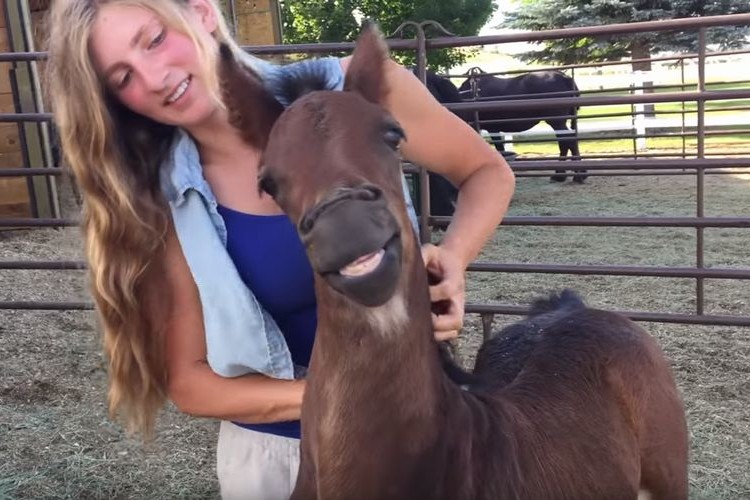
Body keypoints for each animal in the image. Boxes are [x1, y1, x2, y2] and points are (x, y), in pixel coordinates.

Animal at [458, 67, 588, 183]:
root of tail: (565, 77)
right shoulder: (492, 129)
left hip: (557, 122)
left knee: (568, 141)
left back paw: (575, 176)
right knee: (565, 143)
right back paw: (564, 176)